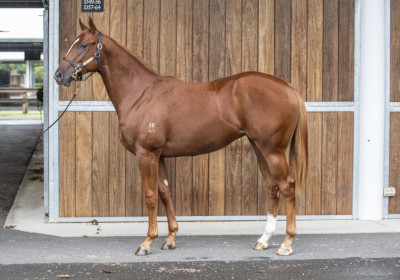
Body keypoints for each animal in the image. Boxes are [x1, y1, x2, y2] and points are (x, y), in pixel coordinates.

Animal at [54, 18, 308, 258]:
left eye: (83, 45)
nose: (59, 75)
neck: (140, 94)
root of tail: (288, 88)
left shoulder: (146, 154)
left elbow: (150, 196)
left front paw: (147, 242)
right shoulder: (159, 156)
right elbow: (165, 193)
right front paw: (170, 239)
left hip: (273, 151)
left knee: (287, 186)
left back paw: (286, 244)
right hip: (258, 147)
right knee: (272, 187)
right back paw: (263, 240)